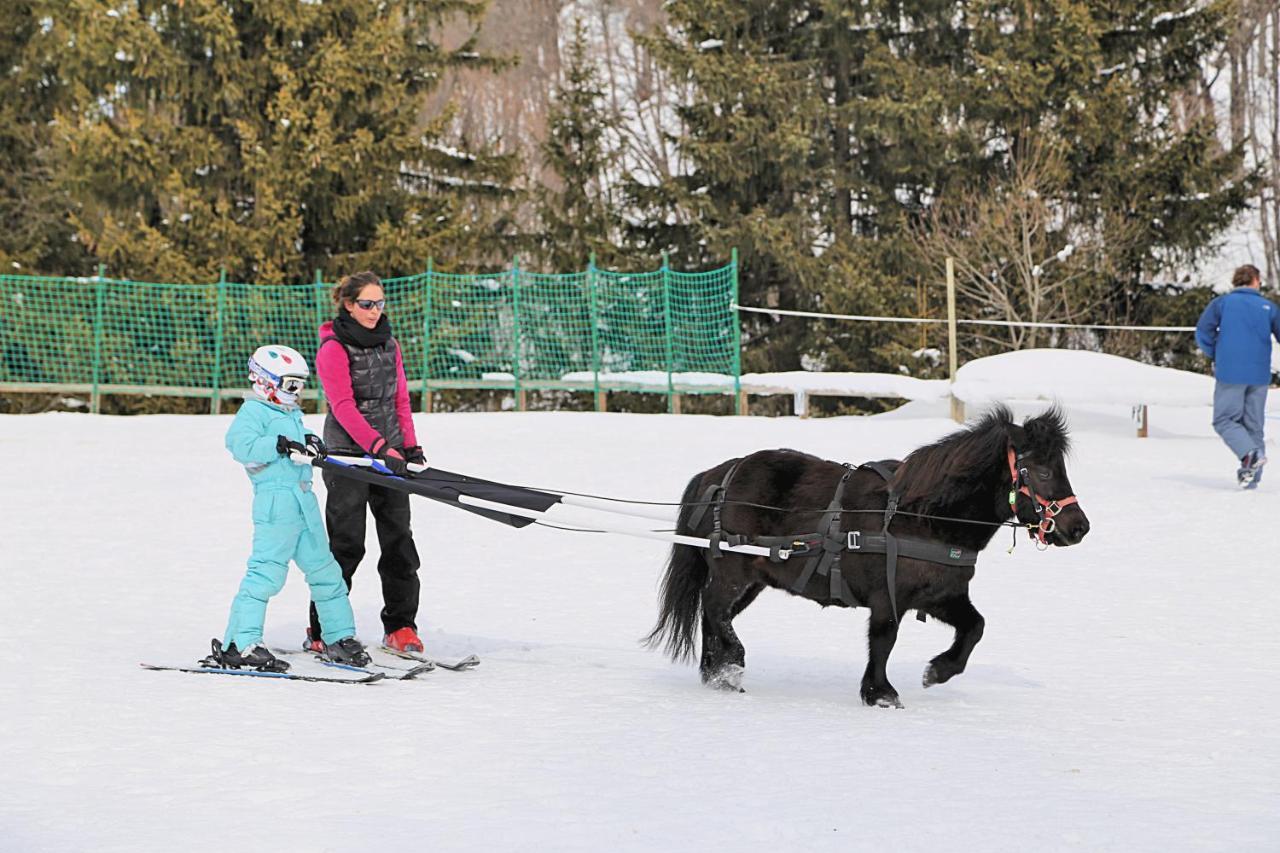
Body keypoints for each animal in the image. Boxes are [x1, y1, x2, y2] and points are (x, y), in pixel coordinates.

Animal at [645, 404, 1085, 701]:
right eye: (1043, 471)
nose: (1079, 527)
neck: (921, 514)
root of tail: (721, 474)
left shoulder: (941, 595)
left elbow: (974, 627)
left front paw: (938, 672)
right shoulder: (888, 597)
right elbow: (884, 639)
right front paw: (880, 692)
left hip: (754, 579)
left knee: (712, 616)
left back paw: (716, 674)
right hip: (733, 571)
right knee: (714, 609)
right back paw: (731, 665)